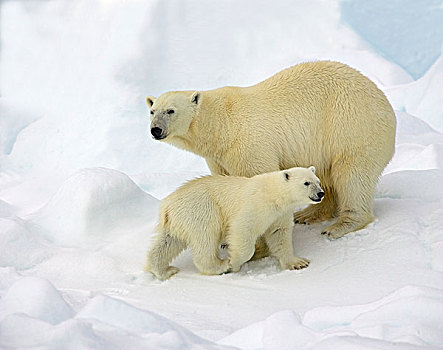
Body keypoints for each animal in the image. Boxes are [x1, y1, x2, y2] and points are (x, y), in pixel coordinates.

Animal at [146, 166, 322, 278]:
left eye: (318, 181)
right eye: (306, 183)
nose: (321, 193)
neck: (274, 194)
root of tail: (167, 205)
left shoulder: (280, 213)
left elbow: (279, 233)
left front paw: (298, 263)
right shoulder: (255, 205)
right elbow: (242, 230)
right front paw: (233, 262)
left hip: (177, 220)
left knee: (167, 242)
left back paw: (164, 270)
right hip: (201, 210)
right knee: (206, 238)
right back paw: (220, 266)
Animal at [147, 60, 398, 241]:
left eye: (170, 110)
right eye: (152, 110)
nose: (155, 130)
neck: (222, 125)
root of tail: (386, 104)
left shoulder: (248, 144)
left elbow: (260, 181)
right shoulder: (218, 157)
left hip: (351, 128)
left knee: (352, 175)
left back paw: (339, 225)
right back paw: (308, 214)